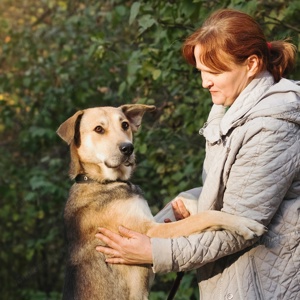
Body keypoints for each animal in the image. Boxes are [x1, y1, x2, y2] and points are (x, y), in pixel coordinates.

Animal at [57, 103, 266, 300]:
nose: (128, 148)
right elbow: (204, 217)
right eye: (99, 129)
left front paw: (193, 201)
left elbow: (180, 198)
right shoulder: (149, 231)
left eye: (125, 125)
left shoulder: (150, 221)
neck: (100, 181)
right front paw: (243, 223)